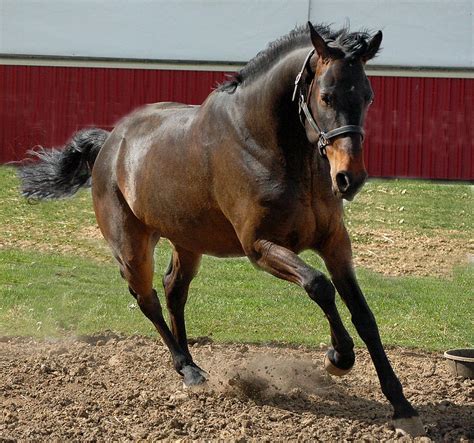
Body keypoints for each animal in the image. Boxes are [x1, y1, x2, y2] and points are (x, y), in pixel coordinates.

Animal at [18, 23, 424, 438]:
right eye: (326, 96)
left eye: (368, 96)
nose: (349, 179)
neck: (270, 147)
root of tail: (109, 143)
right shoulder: (260, 247)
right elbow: (319, 286)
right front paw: (337, 357)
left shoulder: (334, 244)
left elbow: (364, 316)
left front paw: (401, 405)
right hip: (132, 247)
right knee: (147, 298)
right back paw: (188, 370)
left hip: (187, 242)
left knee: (173, 291)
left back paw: (193, 363)